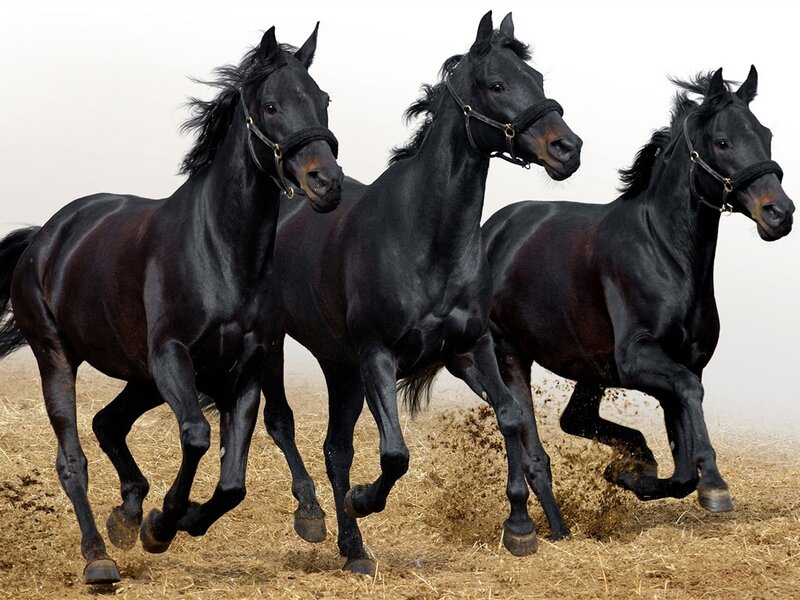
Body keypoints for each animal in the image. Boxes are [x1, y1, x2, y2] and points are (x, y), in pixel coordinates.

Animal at [0, 24, 342, 585]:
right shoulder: (171, 357)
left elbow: (233, 481)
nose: (327, 183)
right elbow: (198, 435)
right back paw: (99, 556)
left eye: (324, 100)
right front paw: (162, 523)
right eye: (270, 106)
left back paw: (126, 515)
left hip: (140, 376)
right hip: (58, 357)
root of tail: (44, 238)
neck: (219, 252)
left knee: (108, 423)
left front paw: (176, 520)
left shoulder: (245, 368)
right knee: (73, 459)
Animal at [256, 11, 580, 573]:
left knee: (336, 450)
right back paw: (314, 516)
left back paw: (354, 550)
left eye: (537, 80)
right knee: (283, 424)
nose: (567, 149)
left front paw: (519, 526)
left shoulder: (471, 348)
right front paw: (364, 500)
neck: (427, 239)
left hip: (340, 366)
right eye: (497, 85)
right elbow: (394, 454)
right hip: (279, 343)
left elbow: (512, 417)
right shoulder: (378, 356)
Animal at [482, 67, 793, 518]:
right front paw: (715, 485)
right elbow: (690, 395)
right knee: (531, 436)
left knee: (574, 419)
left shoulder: (683, 362)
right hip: (511, 353)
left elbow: (683, 466)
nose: (780, 213)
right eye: (722, 141)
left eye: (766, 134)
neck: (665, 253)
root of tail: (491, 230)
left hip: (589, 368)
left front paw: (632, 475)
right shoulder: (638, 359)